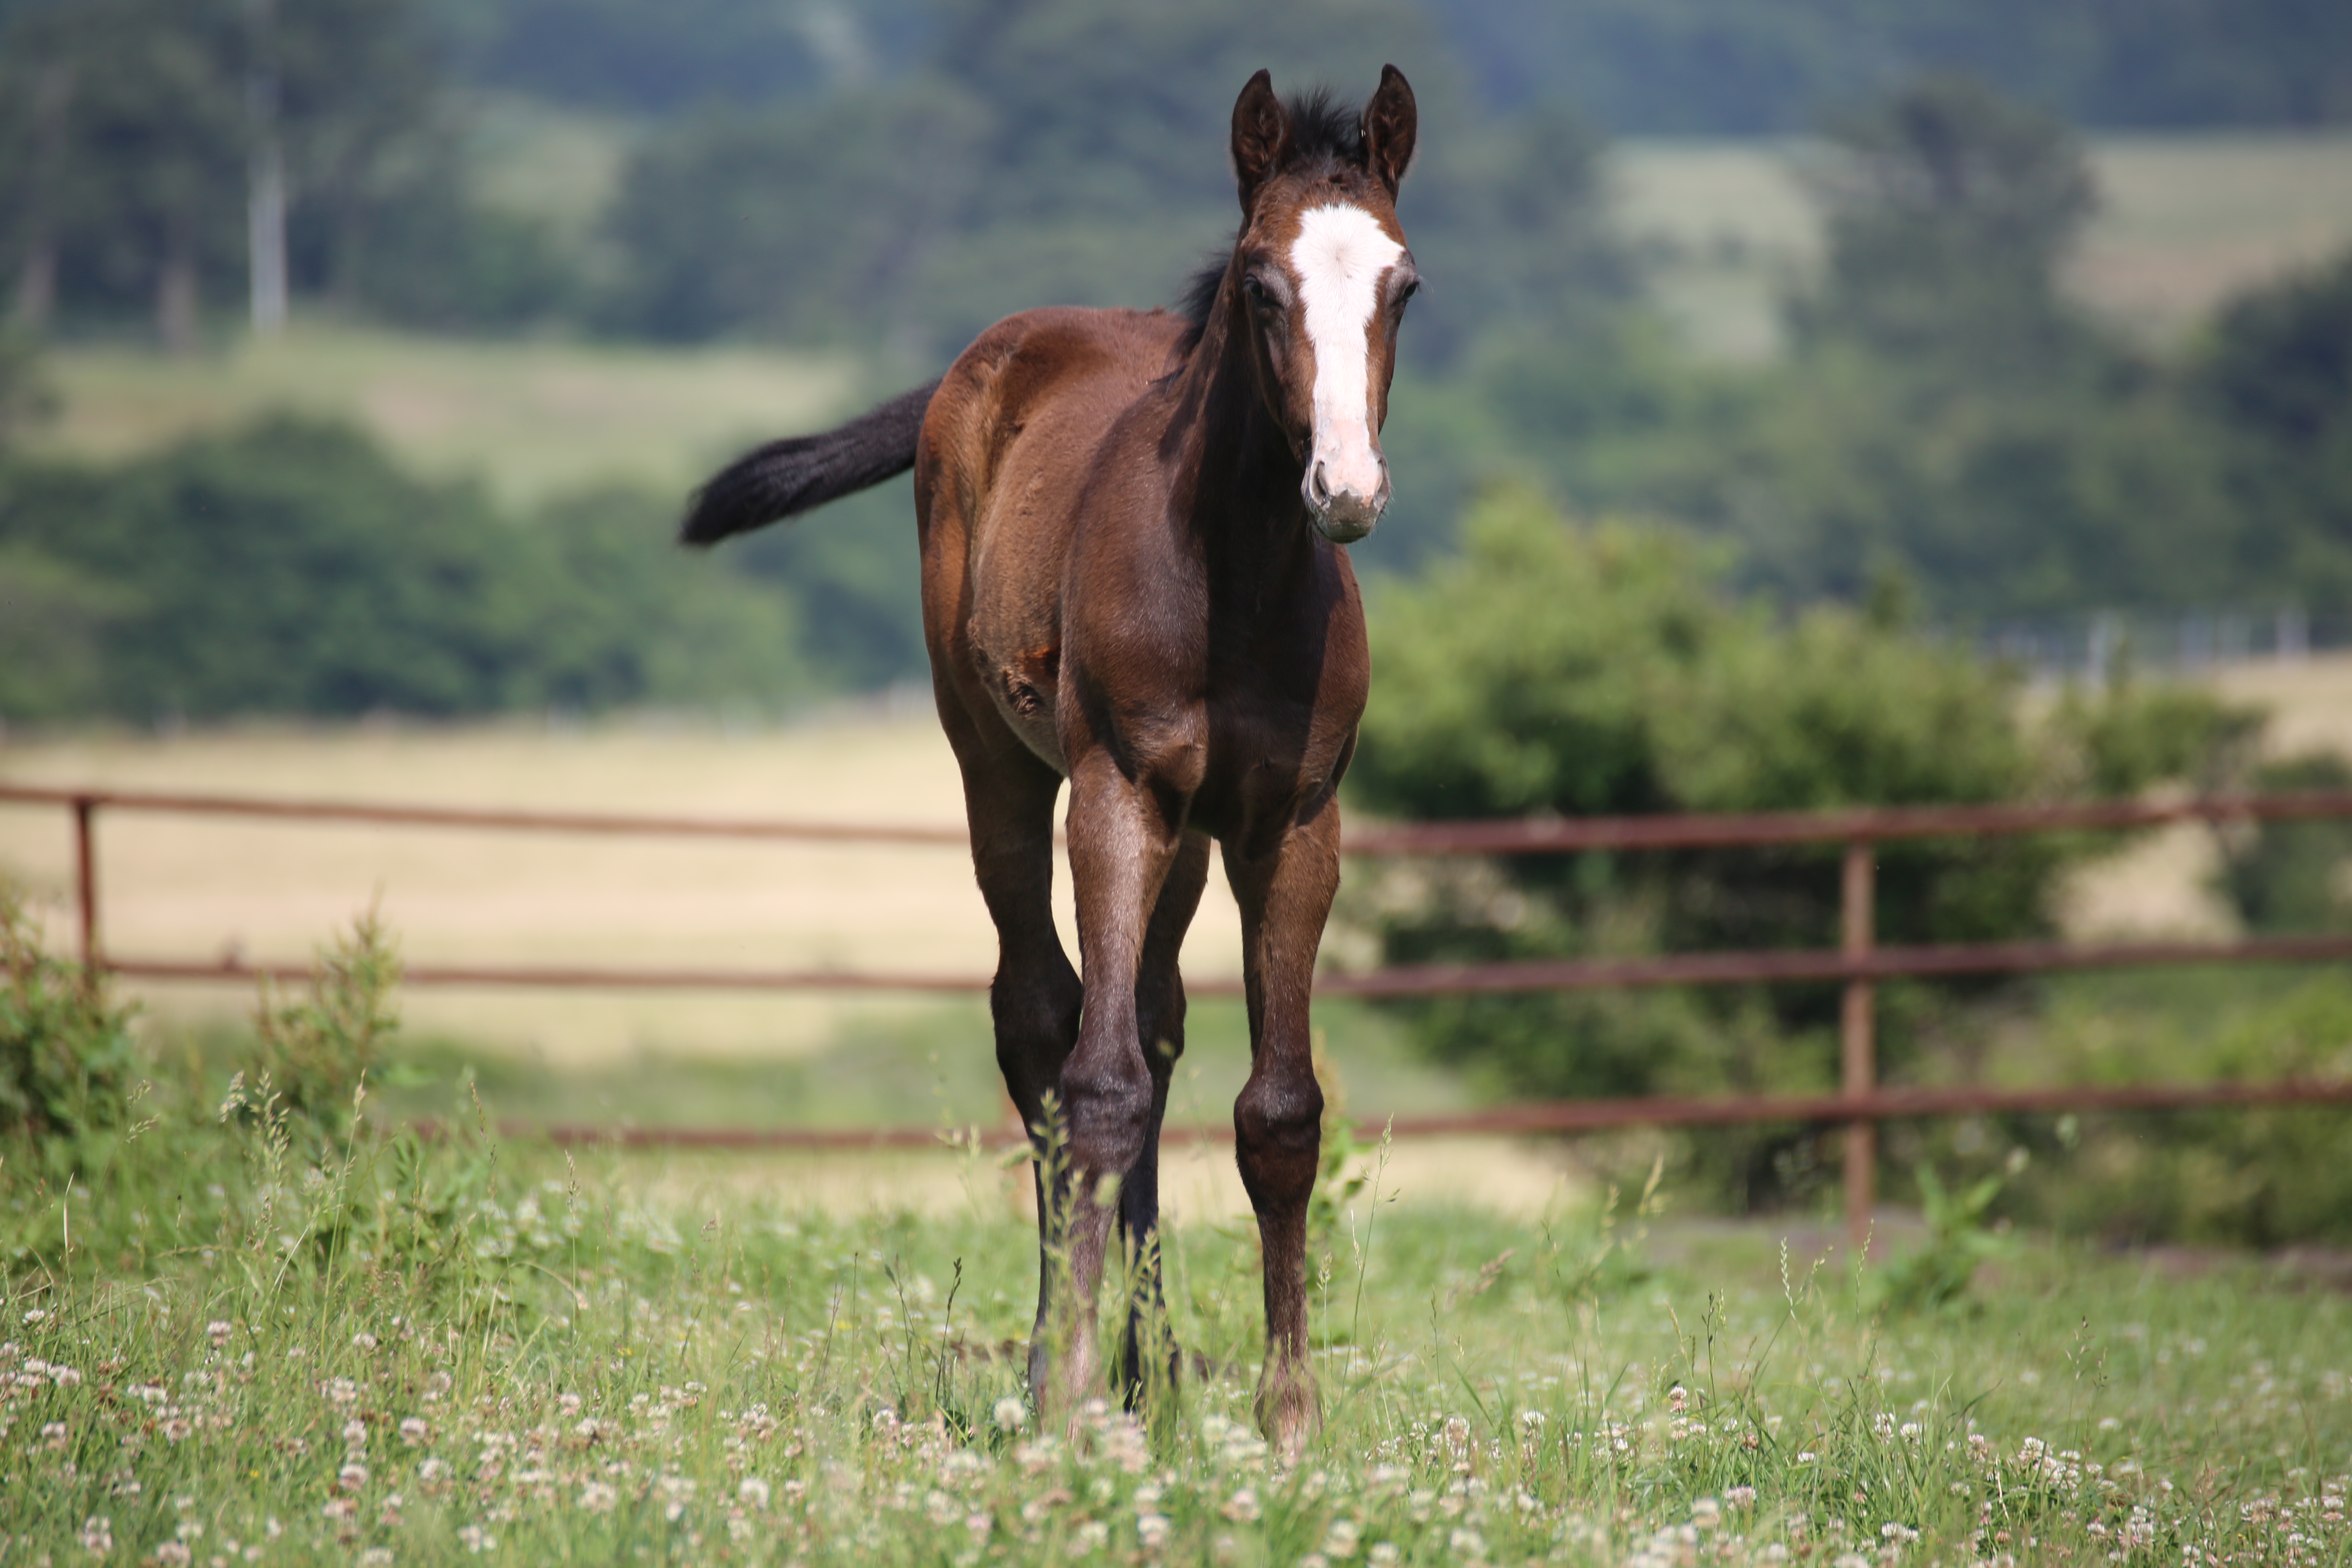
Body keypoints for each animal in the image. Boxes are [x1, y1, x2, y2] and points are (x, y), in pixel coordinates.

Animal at [682, 67, 1411, 1467]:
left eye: (1403, 286)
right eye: (1260, 284)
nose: (1344, 487)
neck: (1239, 579)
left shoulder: (1295, 819)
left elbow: (1277, 1110)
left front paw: (1287, 1416)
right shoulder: (1118, 791)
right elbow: (1098, 1081)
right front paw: (1065, 1393)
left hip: (1193, 832)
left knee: (1159, 1025)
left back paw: (1154, 1369)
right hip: (1002, 770)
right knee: (1040, 1025)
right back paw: (1058, 1366)